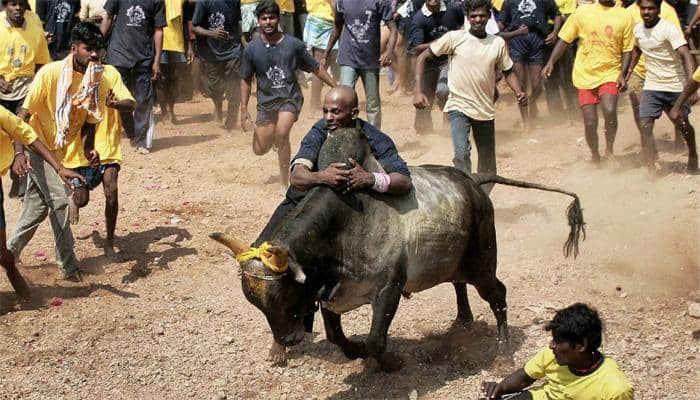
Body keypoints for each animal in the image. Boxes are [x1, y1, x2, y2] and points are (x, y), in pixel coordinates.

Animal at [209, 128, 584, 372]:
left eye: (286, 294)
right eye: (257, 304)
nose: (287, 339)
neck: (343, 225)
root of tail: (473, 182)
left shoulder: (388, 288)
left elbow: (377, 339)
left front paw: (389, 361)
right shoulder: (330, 292)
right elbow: (335, 335)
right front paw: (355, 350)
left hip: (483, 261)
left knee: (498, 294)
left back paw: (503, 352)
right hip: (454, 260)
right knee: (458, 283)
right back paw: (463, 319)